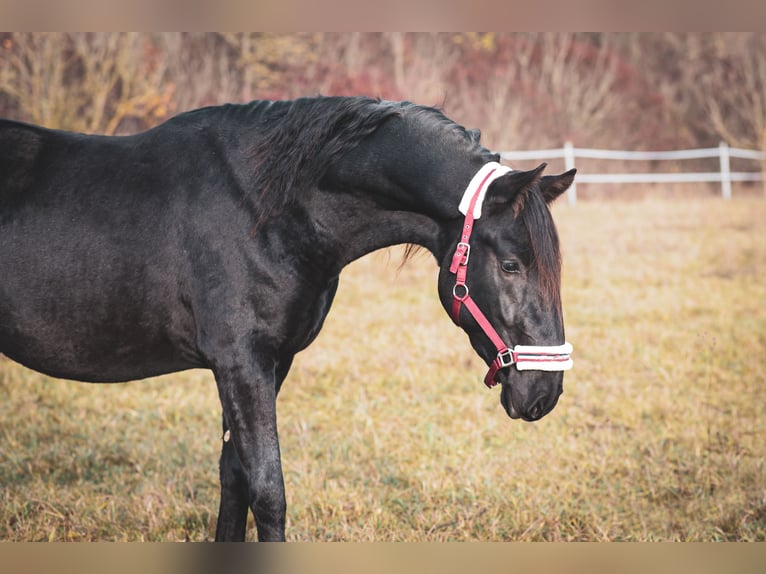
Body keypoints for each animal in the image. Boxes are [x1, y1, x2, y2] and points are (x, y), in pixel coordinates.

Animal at [1, 97, 576, 544]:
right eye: (511, 265)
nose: (544, 394)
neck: (262, 209)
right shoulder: (241, 363)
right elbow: (268, 492)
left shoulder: (270, 364)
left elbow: (234, 481)